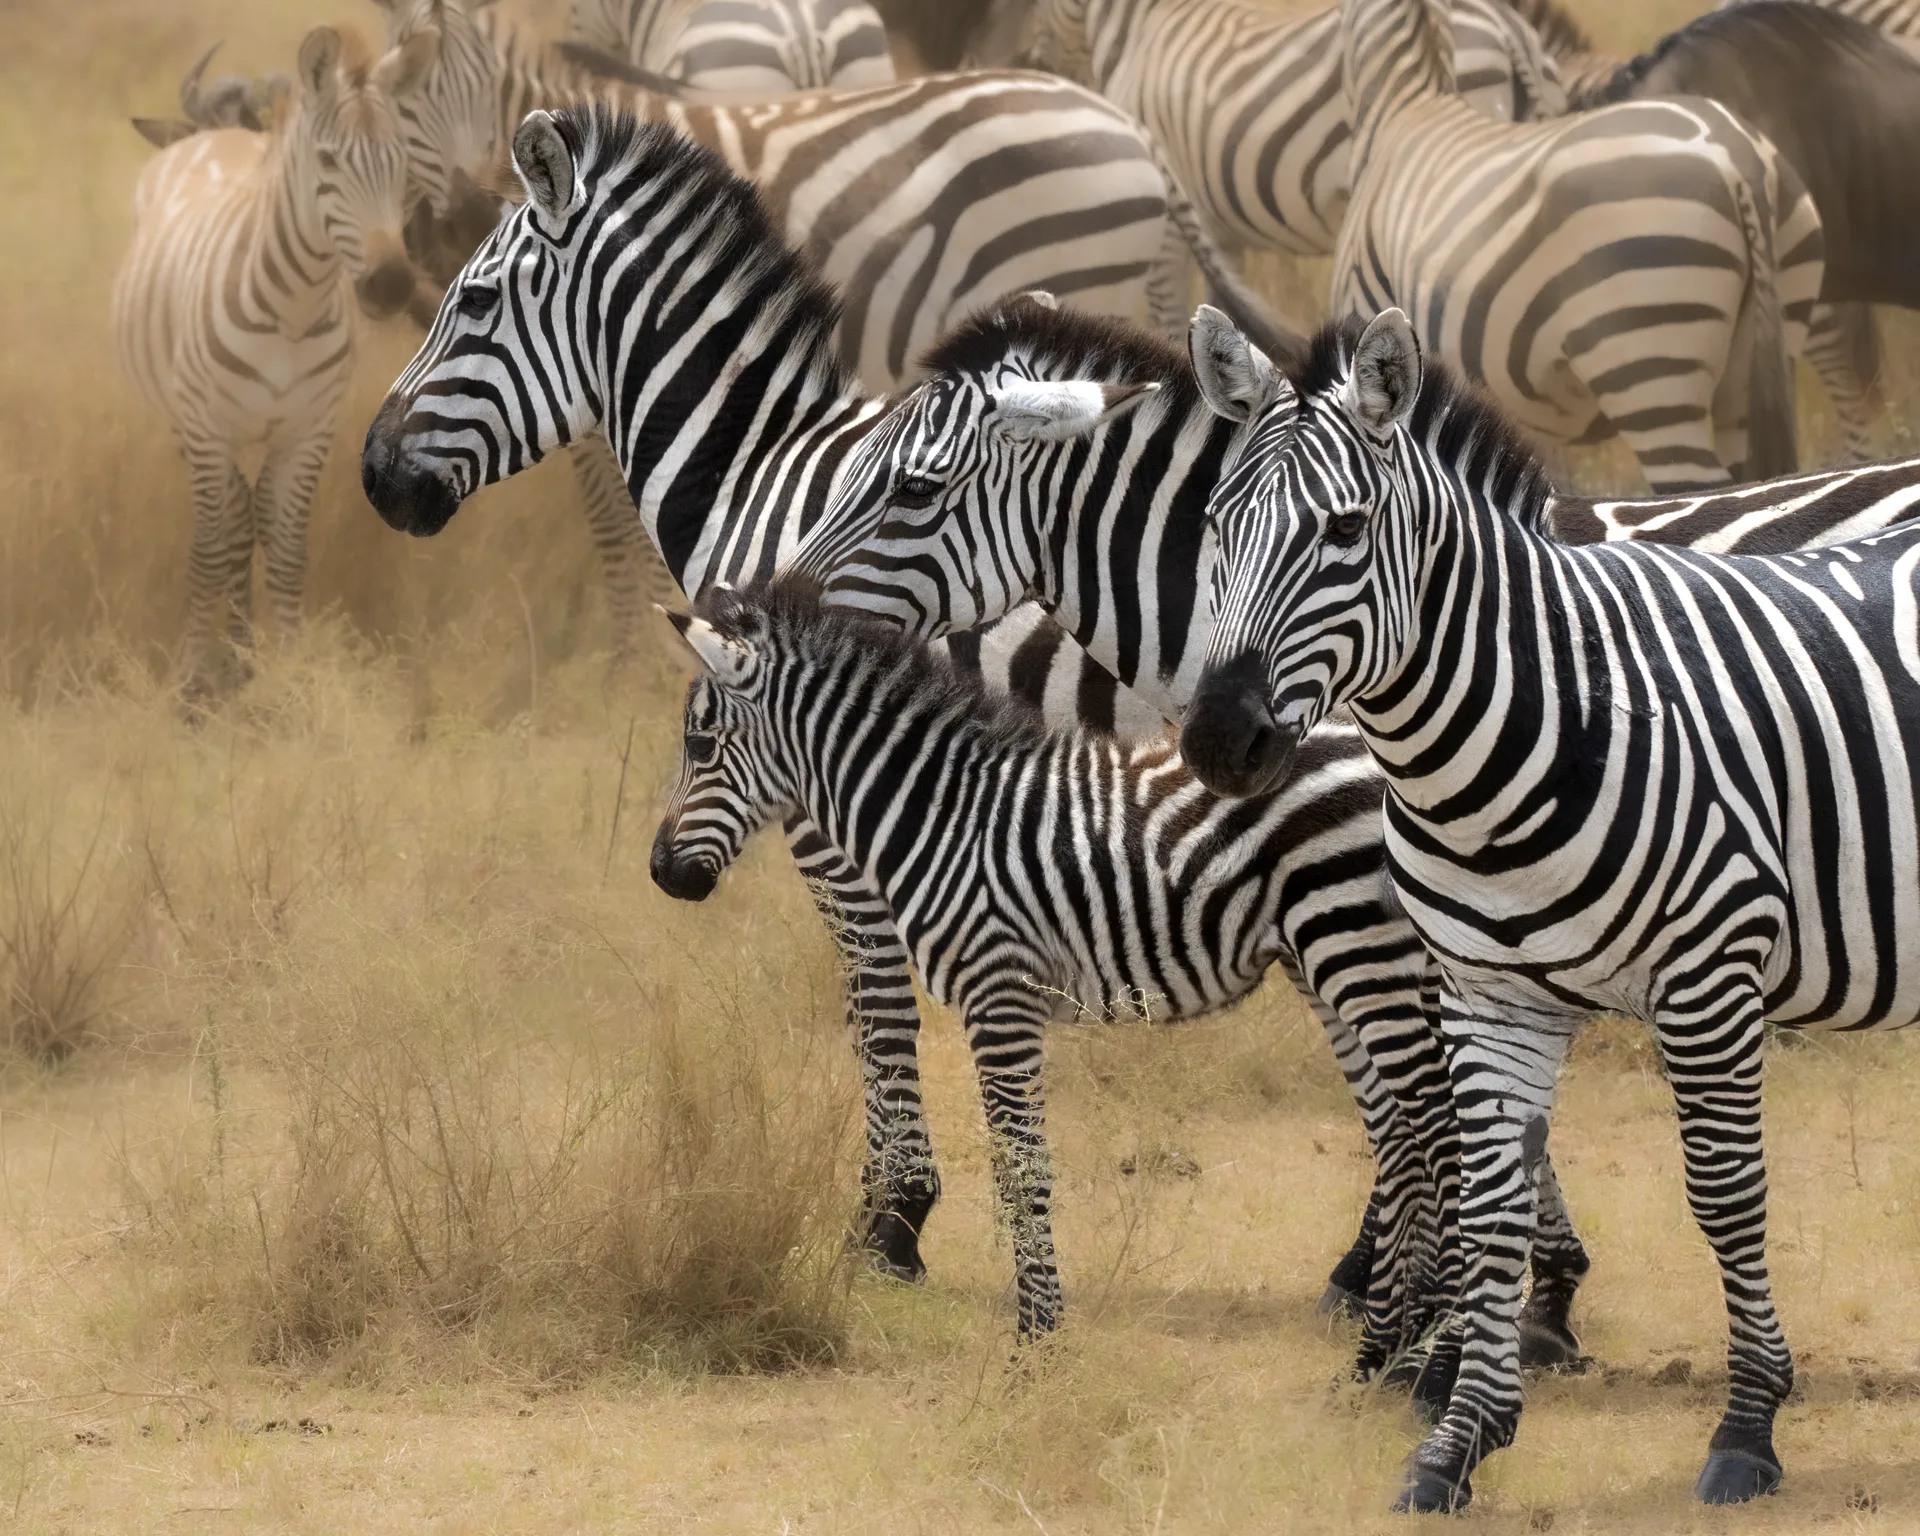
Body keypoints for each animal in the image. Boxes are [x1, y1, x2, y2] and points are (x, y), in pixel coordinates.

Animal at [114, 26, 431, 695]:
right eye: (329, 162)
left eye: (402, 165)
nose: (392, 284)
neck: (292, 310)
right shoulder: (207, 431)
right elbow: (209, 550)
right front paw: (193, 680)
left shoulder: (309, 431)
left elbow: (286, 551)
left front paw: (285, 674)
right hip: (182, 420)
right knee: (231, 520)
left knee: (246, 513)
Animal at [785, 291, 1920, 1377]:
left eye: (911, 490)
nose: (773, 603)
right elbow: (1449, 1105)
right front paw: (1501, 1297)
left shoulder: (1378, 900)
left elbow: (1429, 1102)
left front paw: (1436, 1312)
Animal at [1180, 307, 1920, 1511]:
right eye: (1213, 526)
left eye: (1344, 531)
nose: (1218, 740)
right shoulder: (1490, 998)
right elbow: (1492, 1211)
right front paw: (1457, 1443)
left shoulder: (1710, 978)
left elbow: (1724, 1196)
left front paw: (1749, 1429)